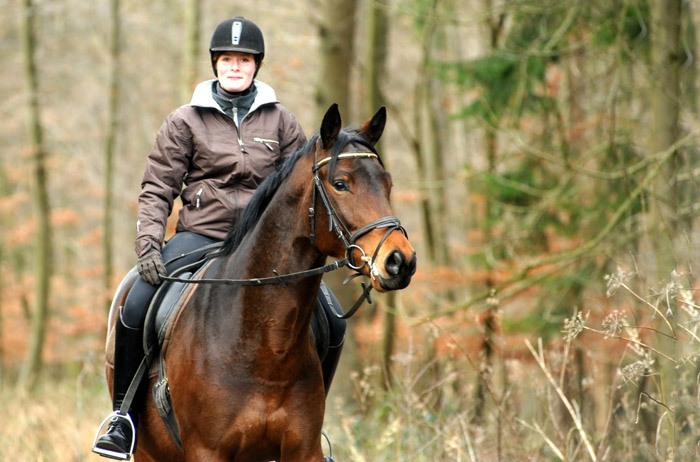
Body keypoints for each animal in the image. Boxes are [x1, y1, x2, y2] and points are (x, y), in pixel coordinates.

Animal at [104, 105, 416, 462]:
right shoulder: (206, 451)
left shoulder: (302, 451)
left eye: (387, 183)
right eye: (341, 184)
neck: (266, 346)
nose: (400, 261)